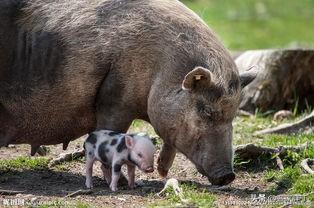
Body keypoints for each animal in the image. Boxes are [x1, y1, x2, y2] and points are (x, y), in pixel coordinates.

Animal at [0, 0, 255, 185]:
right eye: (208, 113)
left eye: (233, 115)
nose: (228, 176)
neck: (161, 66)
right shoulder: (115, 99)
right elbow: (111, 138)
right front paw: (124, 184)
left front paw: (161, 173)